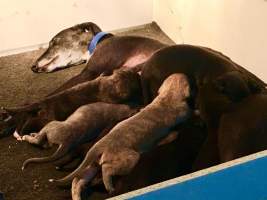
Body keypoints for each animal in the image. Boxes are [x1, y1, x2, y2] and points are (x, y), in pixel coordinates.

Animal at [52, 72, 194, 196]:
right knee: (106, 169)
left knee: (80, 179)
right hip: (129, 158)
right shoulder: (183, 111)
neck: (168, 96)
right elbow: (189, 113)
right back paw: (109, 186)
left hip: (93, 164)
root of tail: (101, 144)